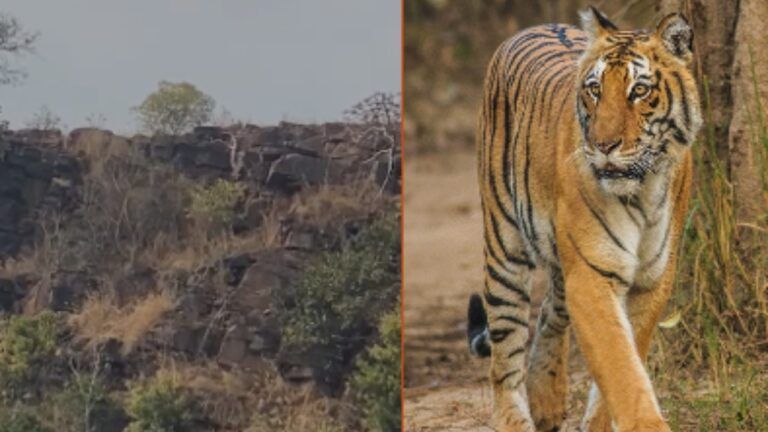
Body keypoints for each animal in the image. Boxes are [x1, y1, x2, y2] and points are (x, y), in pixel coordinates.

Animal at [465, 7, 701, 432]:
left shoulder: (652, 279)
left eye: (639, 91)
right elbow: (619, 364)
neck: (643, 190)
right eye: (594, 90)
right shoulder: (592, 275)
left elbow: (626, 357)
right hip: (504, 246)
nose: (604, 145)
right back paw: (514, 417)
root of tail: (533, 27)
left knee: (549, 313)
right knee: (505, 353)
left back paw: (546, 399)